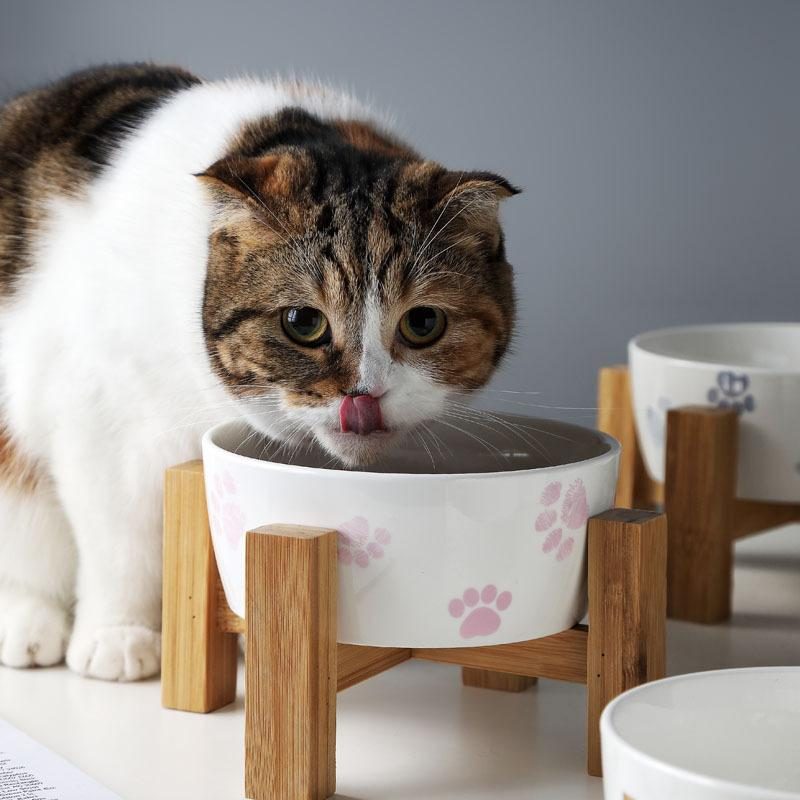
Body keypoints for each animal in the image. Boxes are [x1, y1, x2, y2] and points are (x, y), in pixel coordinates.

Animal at [0, 64, 520, 680]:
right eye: (303, 322)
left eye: (422, 323)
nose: (365, 395)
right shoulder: (98, 415)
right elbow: (120, 540)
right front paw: (118, 634)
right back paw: (28, 621)